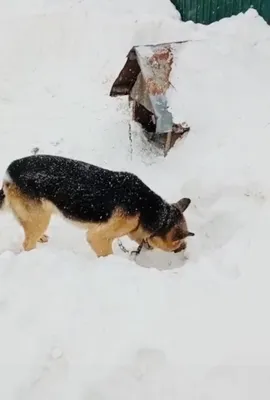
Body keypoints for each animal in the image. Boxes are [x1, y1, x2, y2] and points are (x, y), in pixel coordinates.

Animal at [0, 153, 194, 256]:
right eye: (178, 243)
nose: (184, 249)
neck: (149, 210)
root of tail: (10, 171)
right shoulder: (97, 236)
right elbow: (106, 253)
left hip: (38, 217)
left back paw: (41, 238)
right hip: (40, 218)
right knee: (27, 243)